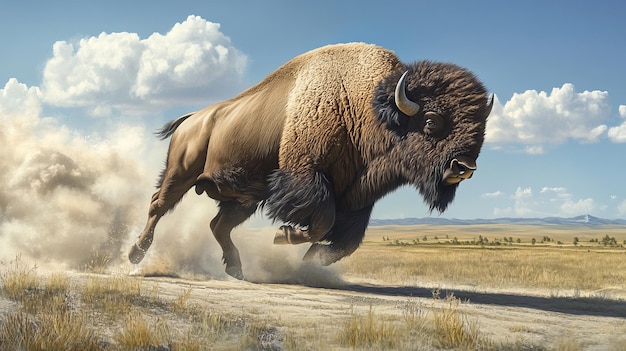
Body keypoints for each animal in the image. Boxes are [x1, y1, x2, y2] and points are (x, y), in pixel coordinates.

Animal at [128, 42, 492, 280]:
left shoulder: (357, 199)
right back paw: (136, 254)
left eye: (481, 130)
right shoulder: (307, 177)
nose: (463, 168)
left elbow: (344, 241)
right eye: (431, 122)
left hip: (243, 198)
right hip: (181, 173)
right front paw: (284, 236)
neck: (367, 107)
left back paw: (236, 269)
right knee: (158, 205)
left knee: (218, 225)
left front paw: (310, 258)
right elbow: (322, 221)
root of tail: (192, 119)